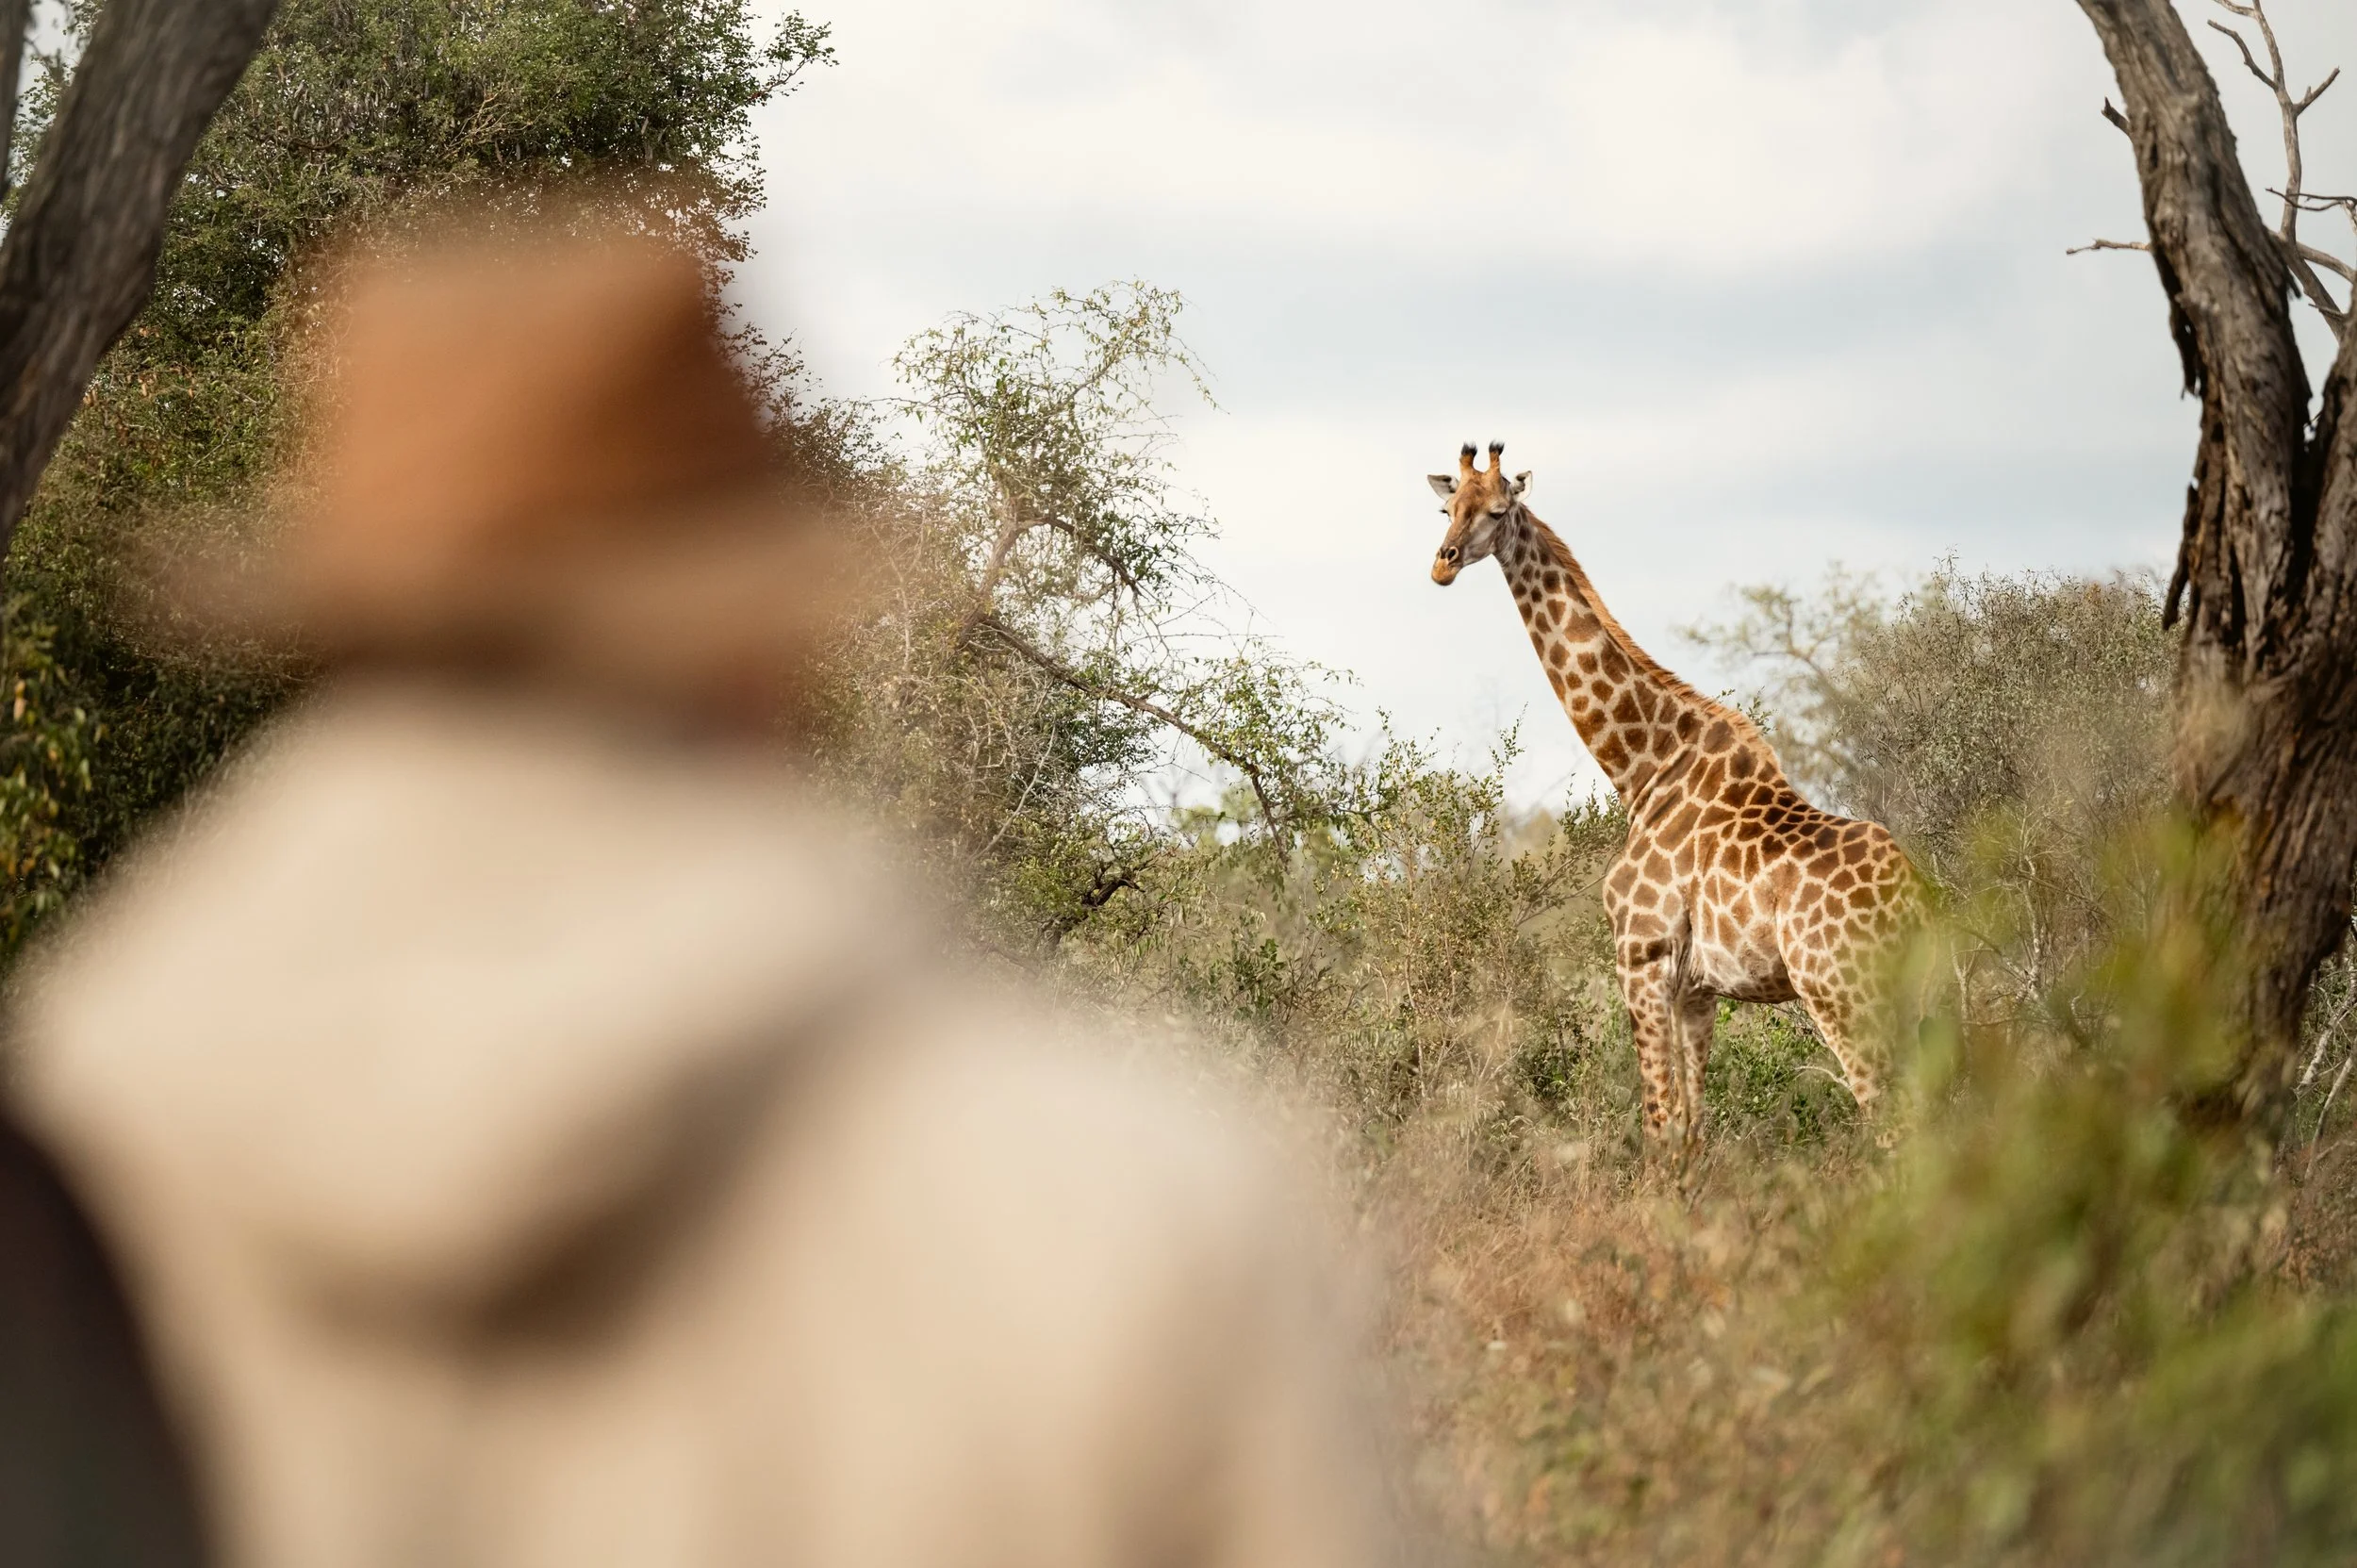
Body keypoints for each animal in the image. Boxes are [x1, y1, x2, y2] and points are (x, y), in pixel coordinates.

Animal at [1426, 441, 1918, 1149]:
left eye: (1497, 509)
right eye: (1445, 508)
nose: (1441, 564)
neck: (1643, 768)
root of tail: (1916, 898)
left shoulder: (1641, 956)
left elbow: (1658, 1124)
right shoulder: (1696, 988)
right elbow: (1691, 1125)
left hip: (1844, 997)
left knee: (1894, 1125)